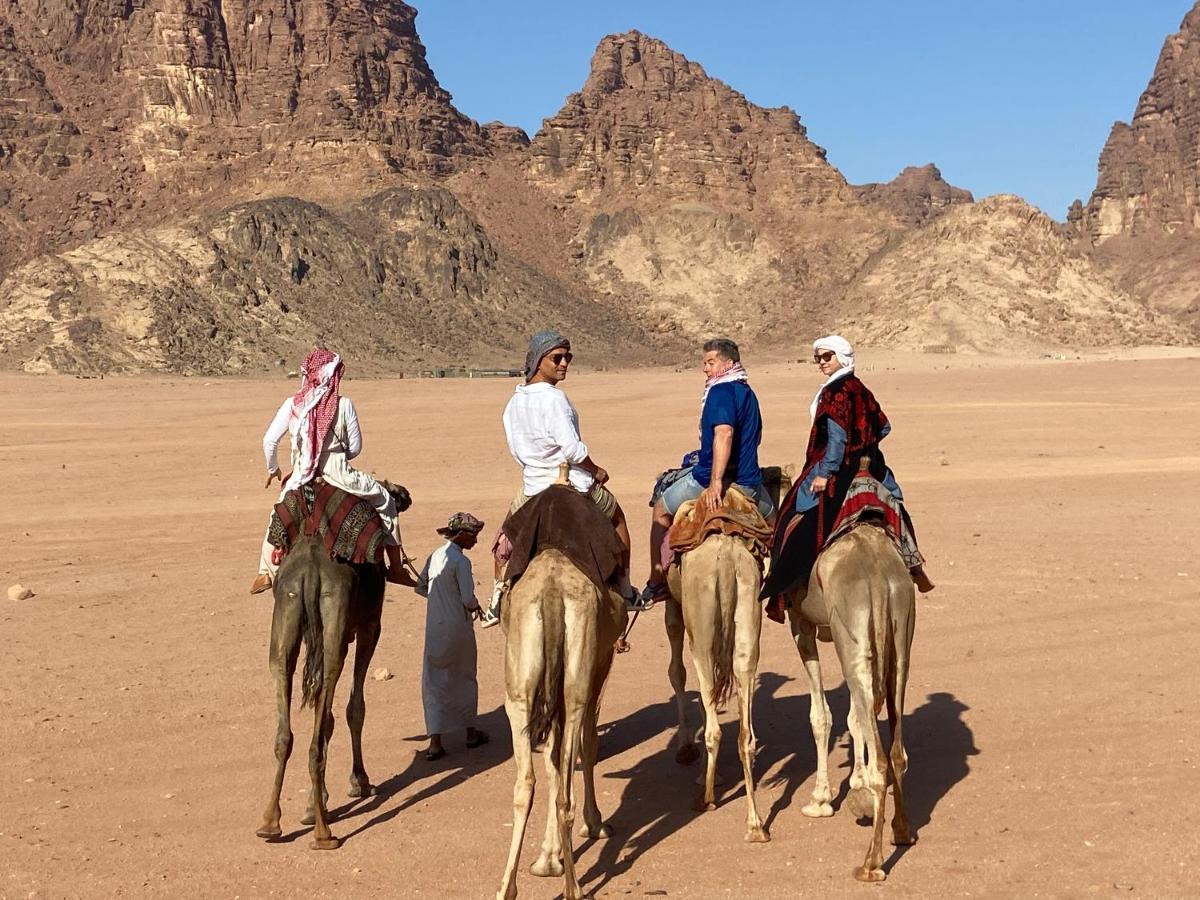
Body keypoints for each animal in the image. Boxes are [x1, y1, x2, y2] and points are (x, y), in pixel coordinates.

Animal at [254, 482, 412, 849]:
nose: (405, 495)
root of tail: (312, 570)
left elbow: (325, 718)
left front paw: (316, 804)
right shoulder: (370, 627)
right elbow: (355, 708)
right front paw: (359, 782)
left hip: (286, 616)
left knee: (285, 720)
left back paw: (270, 823)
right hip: (337, 624)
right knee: (324, 717)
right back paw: (324, 834)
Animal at [496, 549, 628, 900]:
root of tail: (552, 593)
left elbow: (551, 761)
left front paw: (547, 859)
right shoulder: (601, 664)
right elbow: (588, 747)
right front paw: (595, 824)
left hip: (520, 690)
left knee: (525, 783)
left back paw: (507, 888)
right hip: (578, 683)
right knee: (566, 788)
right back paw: (574, 888)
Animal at [787, 520, 916, 883]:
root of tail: (879, 575)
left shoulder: (801, 624)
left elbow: (820, 717)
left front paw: (820, 799)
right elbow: (854, 718)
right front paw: (857, 786)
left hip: (852, 630)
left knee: (883, 759)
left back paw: (871, 864)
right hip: (900, 631)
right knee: (897, 749)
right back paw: (901, 831)